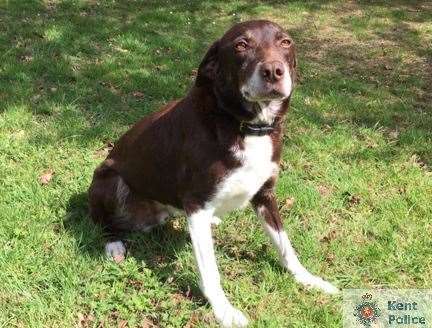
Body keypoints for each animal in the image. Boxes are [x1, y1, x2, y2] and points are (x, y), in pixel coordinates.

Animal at [88, 19, 338, 326]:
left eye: (286, 42)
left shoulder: (265, 195)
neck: (244, 126)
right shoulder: (196, 203)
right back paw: (113, 243)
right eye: (241, 45)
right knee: (101, 219)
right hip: (109, 181)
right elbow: (211, 273)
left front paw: (308, 279)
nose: (273, 71)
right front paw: (224, 311)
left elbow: (285, 245)